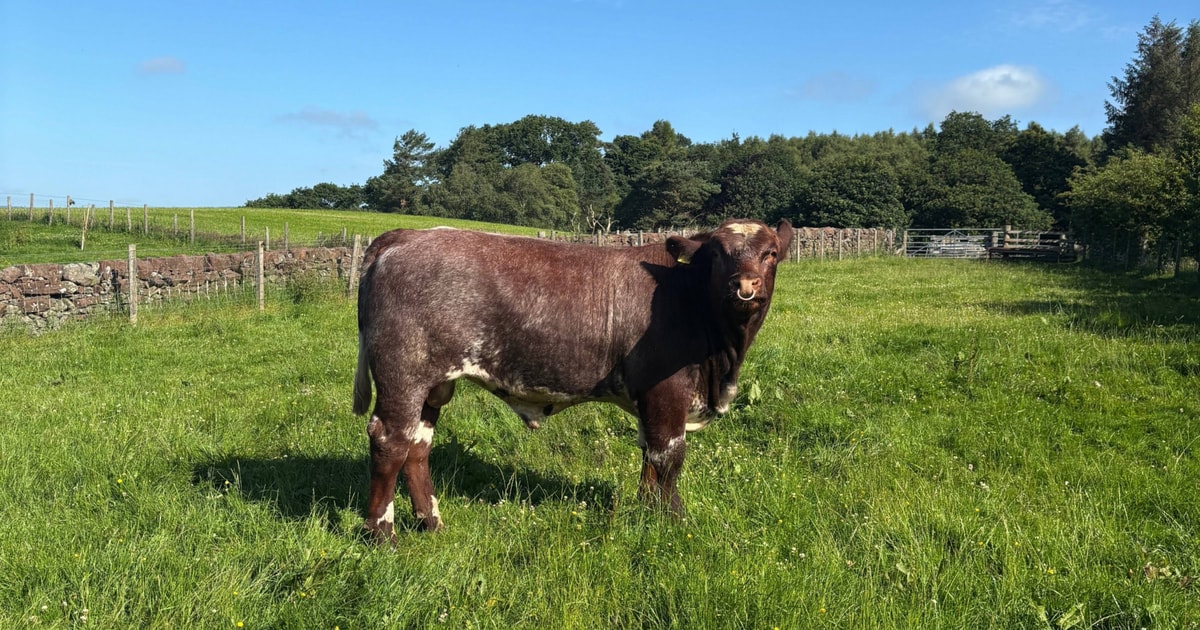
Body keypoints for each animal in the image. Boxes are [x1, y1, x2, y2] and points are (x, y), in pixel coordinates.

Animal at [352, 218, 794, 541]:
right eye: (717, 254)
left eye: (771, 253)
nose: (745, 286)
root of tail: (407, 235)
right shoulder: (666, 393)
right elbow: (668, 458)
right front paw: (673, 521)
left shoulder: (649, 402)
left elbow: (649, 457)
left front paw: (646, 512)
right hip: (404, 374)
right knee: (391, 441)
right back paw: (382, 534)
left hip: (434, 384)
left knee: (417, 447)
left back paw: (431, 522)